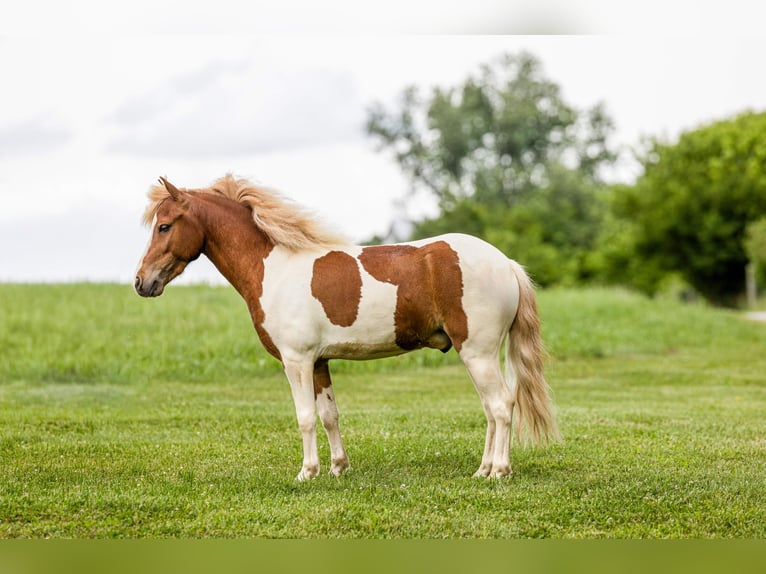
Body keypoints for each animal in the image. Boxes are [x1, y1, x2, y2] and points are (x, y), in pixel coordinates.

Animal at [134, 174, 559, 480]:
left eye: (165, 226)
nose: (142, 282)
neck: (274, 268)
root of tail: (505, 263)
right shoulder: (319, 362)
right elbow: (329, 415)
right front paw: (338, 468)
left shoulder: (297, 361)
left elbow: (305, 417)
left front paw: (307, 473)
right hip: (480, 354)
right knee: (492, 408)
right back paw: (483, 469)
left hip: (478, 353)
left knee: (501, 406)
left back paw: (499, 472)